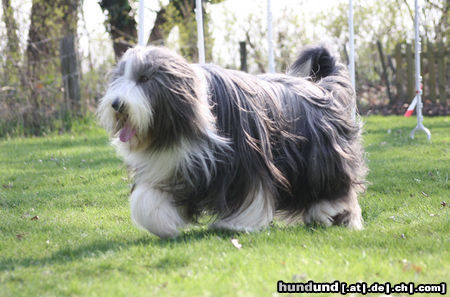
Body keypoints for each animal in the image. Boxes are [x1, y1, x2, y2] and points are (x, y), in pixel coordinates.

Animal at [97, 44, 366, 238]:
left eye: (144, 78)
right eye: (120, 77)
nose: (117, 104)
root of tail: (323, 89)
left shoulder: (247, 161)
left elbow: (254, 194)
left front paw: (237, 225)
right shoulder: (176, 164)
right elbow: (146, 200)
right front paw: (163, 224)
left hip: (320, 158)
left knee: (334, 186)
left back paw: (332, 212)